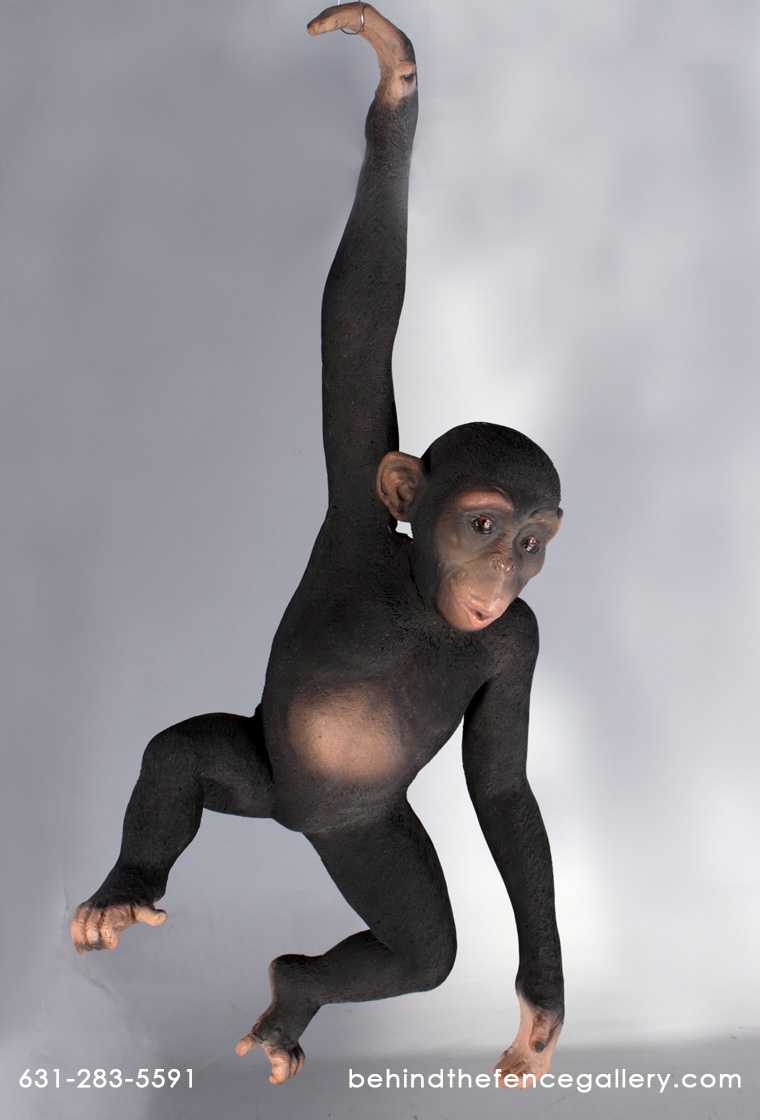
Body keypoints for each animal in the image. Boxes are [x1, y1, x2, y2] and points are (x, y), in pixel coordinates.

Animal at [70, 3, 565, 1089]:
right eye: (482, 524)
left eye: (534, 543)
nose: (503, 571)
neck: (421, 602)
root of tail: (295, 821)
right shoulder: (351, 508)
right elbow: (358, 312)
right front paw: (395, 76)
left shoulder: (519, 640)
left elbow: (504, 791)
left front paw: (541, 1008)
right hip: (264, 770)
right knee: (179, 756)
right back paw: (127, 885)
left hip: (364, 833)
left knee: (418, 949)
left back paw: (293, 989)